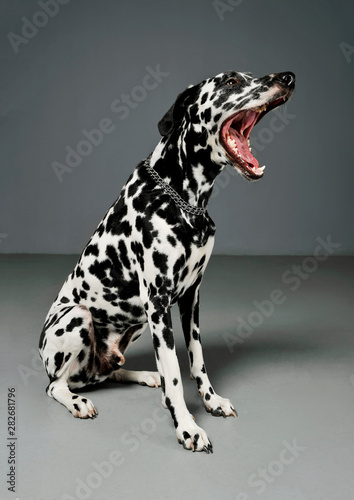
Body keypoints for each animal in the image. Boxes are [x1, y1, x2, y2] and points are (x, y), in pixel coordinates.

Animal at [38, 69, 294, 454]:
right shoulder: (158, 302)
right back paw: (78, 400)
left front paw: (210, 401)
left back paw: (145, 376)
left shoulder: (190, 297)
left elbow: (196, 359)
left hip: (137, 322)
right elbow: (174, 372)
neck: (183, 200)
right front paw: (187, 426)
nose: (287, 77)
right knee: (58, 385)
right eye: (231, 81)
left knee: (109, 372)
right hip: (79, 317)